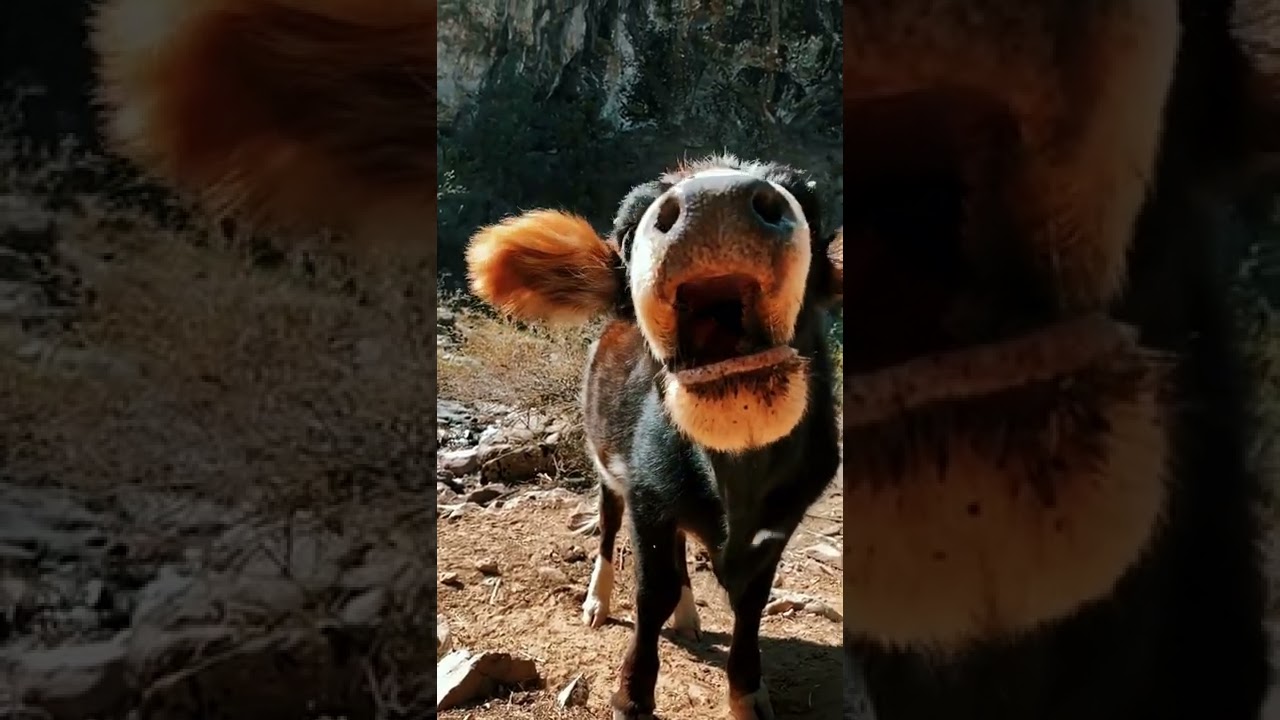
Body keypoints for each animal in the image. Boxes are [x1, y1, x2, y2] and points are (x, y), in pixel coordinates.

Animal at [465, 155, 844, 719]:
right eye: (626, 231)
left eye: (811, 204)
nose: (717, 203)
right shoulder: (647, 498)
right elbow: (652, 594)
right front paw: (632, 695)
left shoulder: (783, 519)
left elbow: (752, 602)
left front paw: (747, 691)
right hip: (607, 470)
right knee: (607, 532)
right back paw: (598, 602)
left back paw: (688, 617)